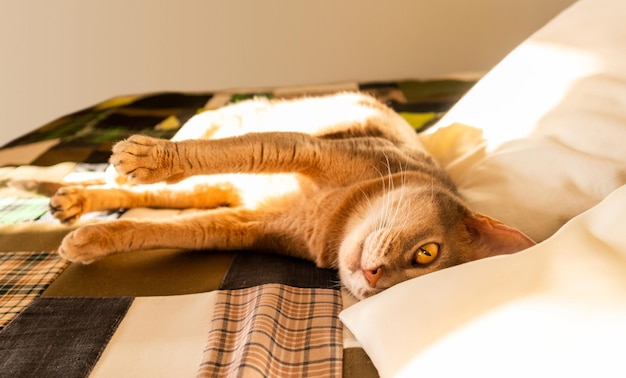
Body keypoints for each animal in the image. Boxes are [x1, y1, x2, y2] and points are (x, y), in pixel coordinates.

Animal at [45, 93, 532, 300]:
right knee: (147, 180)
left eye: (421, 264)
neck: (333, 214)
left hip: (221, 191)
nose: (375, 277)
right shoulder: (303, 148)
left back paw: (71, 203)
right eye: (427, 253)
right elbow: (243, 149)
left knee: (167, 198)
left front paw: (91, 243)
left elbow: (172, 231)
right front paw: (148, 157)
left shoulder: (242, 227)